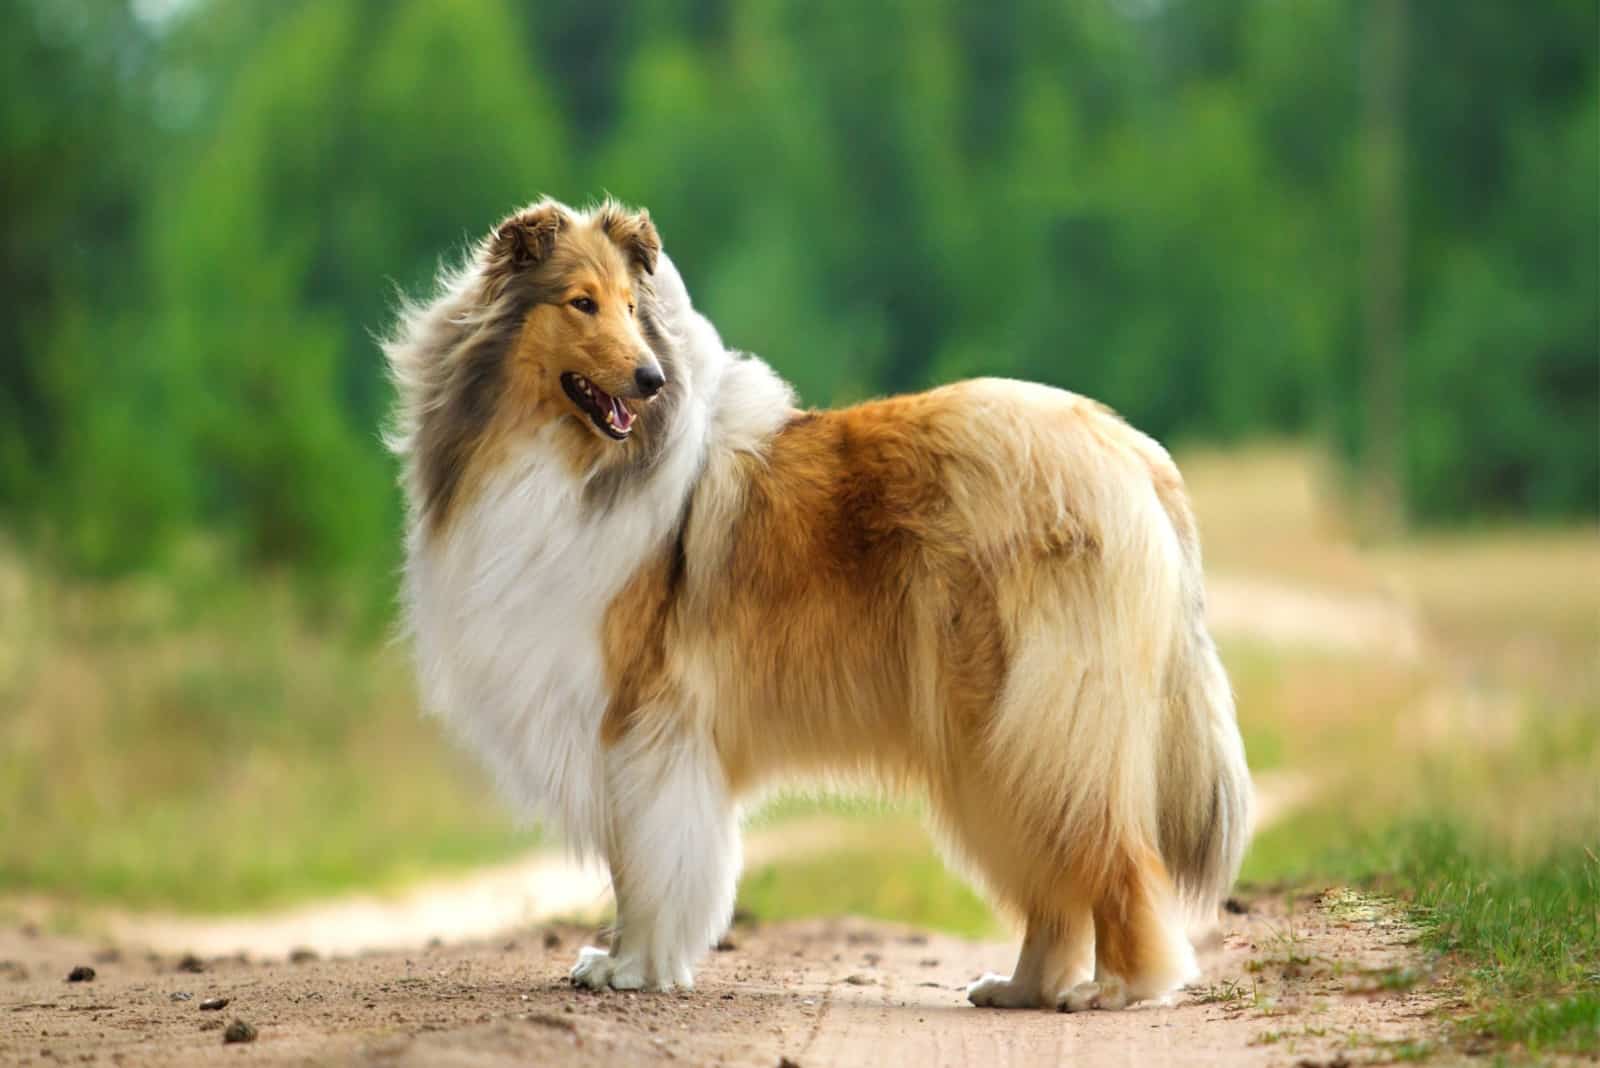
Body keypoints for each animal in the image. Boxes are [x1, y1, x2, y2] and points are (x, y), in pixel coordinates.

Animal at [384, 198, 1248, 1010]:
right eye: (581, 303)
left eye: (632, 306)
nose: (652, 380)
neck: (564, 459)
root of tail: (1130, 450)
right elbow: (633, 861)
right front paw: (624, 960)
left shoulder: (644, 722)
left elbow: (648, 863)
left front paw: (633, 967)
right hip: (999, 737)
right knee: (1054, 883)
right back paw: (1020, 988)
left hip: (1030, 724)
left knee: (1111, 857)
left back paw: (1117, 987)